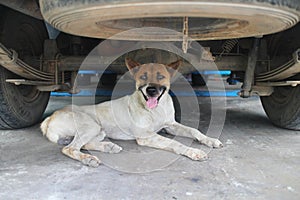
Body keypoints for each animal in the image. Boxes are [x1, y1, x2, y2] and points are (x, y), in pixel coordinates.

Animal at [40, 57, 223, 167]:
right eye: (143, 77)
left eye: (160, 76)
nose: (151, 90)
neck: (156, 110)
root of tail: (49, 119)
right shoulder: (146, 137)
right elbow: (175, 143)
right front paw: (193, 151)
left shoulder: (170, 125)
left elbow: (194, 130)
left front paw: (210, 140)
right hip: (91, 126)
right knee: (70, 148)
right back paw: (88, 158)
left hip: (99, 131)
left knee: (82, 144)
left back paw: (108, 147)